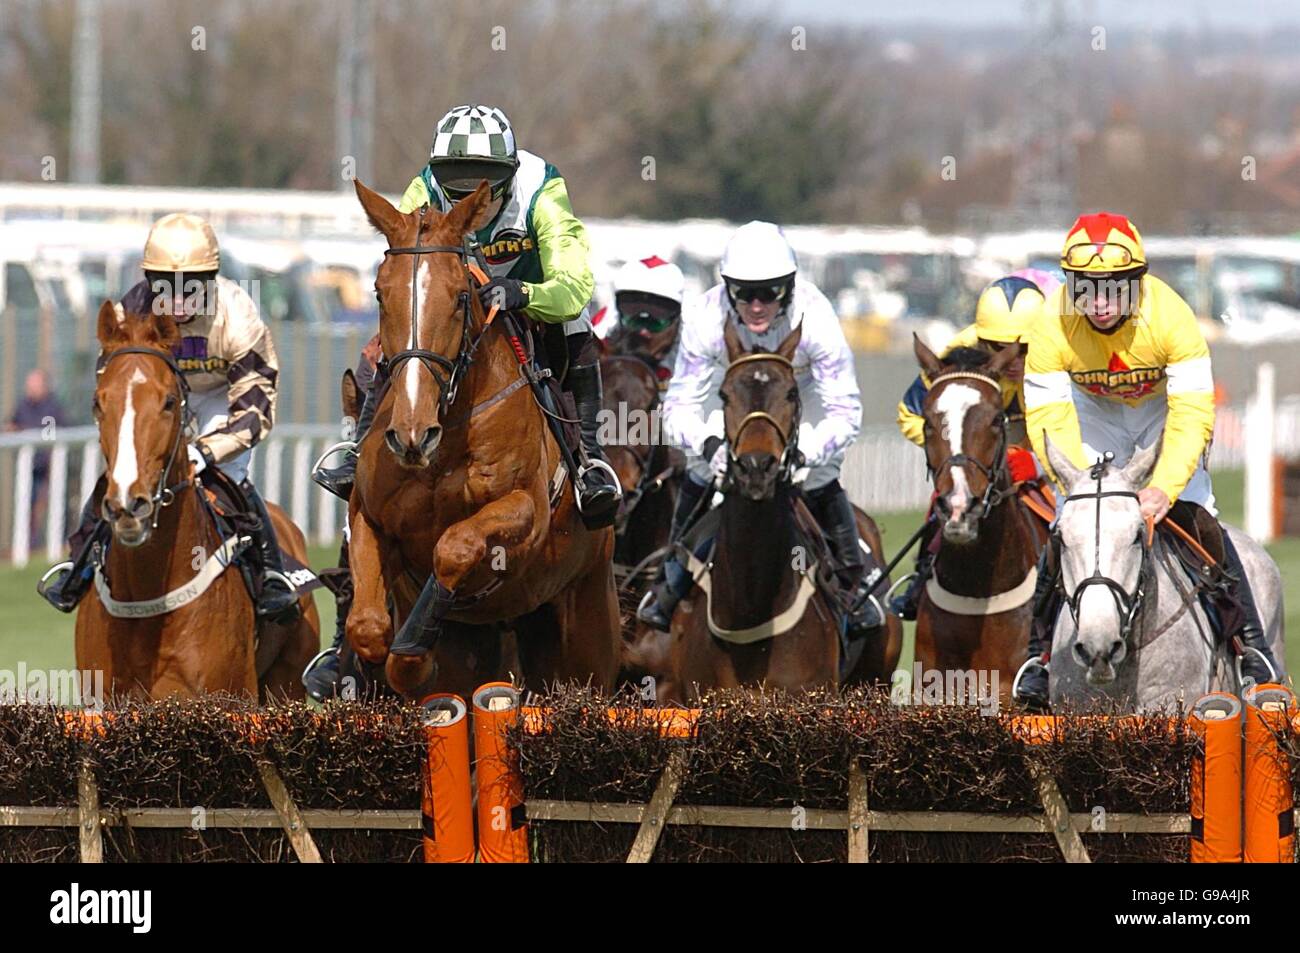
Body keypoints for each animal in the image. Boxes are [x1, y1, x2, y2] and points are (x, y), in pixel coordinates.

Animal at [340, 178, 613, 696]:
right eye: (380, 294)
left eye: (459, 298)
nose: (412, 435)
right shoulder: (368, 513)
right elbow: (367, 627)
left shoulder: (526, 511)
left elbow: (456, 544)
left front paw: (415, 645)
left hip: (585, 623)